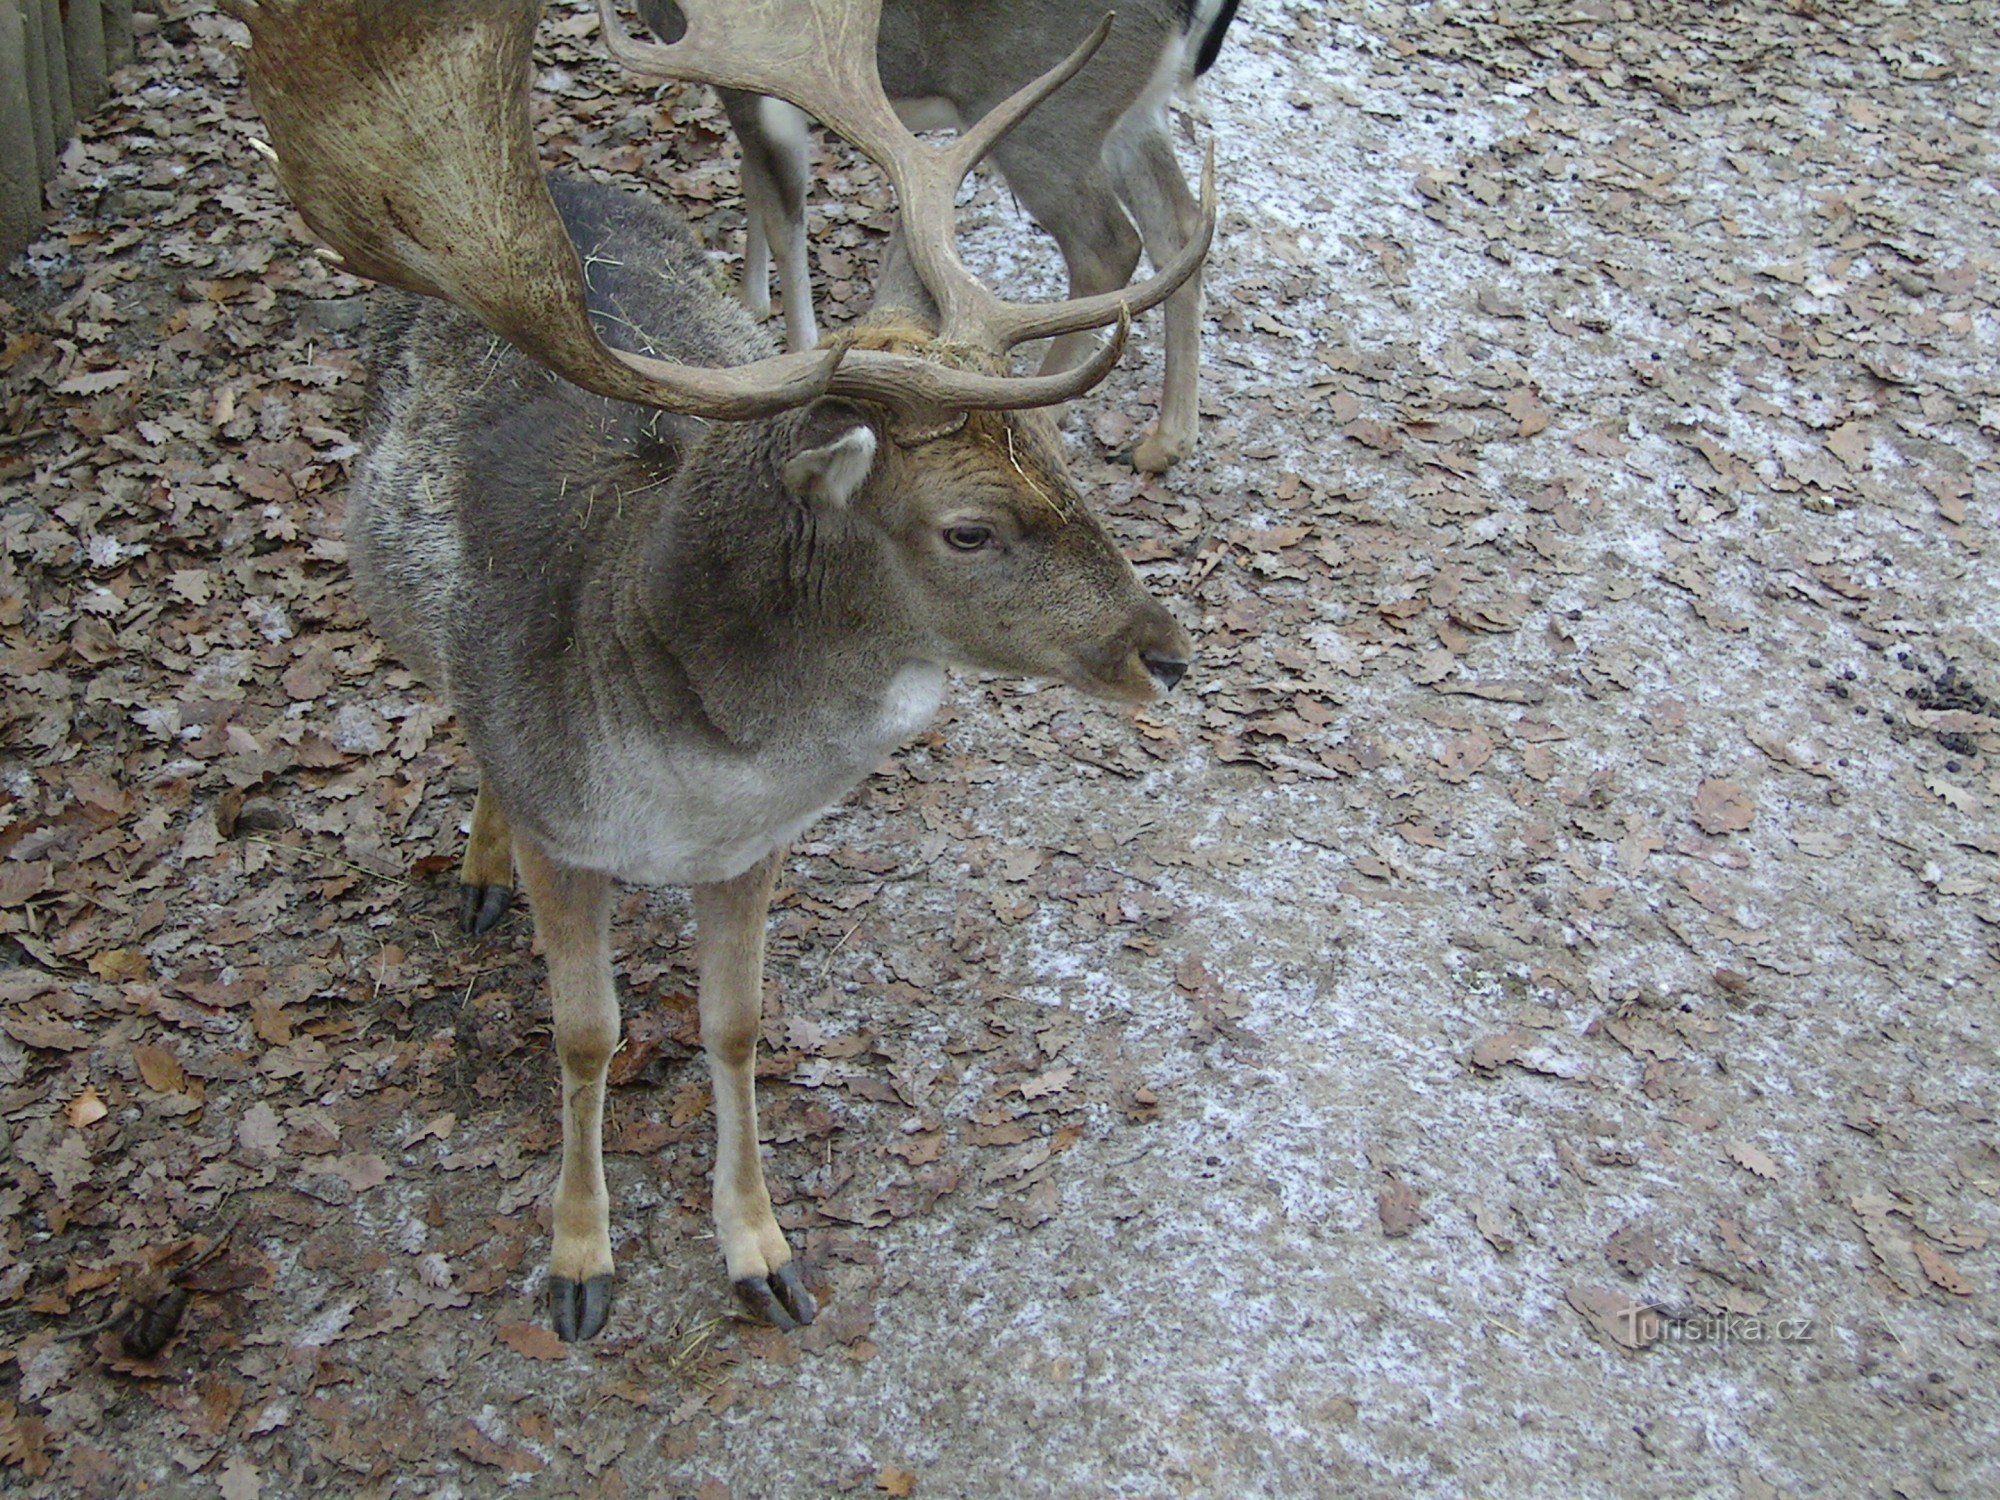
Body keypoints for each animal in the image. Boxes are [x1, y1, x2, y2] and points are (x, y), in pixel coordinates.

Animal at [608, 0, 1232, 472]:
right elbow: (752, 181)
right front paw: (750, 297)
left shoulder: (747, 73)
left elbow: (785, 210)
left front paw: (797, 341)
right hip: (1133, 112)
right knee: (1180, 225)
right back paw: (1165, 442)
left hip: (1050, 118)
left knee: (1109, 243)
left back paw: (1052, 412)